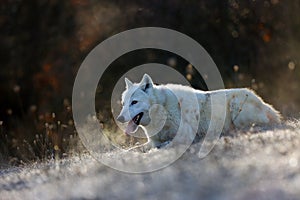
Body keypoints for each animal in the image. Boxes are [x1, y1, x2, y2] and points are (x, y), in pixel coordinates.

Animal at [116, 74, 280, 148]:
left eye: (134, 102)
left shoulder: (184, 136)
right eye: (123, 104)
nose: (119, 119)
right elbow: (134, 149)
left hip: (237, 106)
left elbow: (165, 144)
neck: (164, 110)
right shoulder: (152, 141)